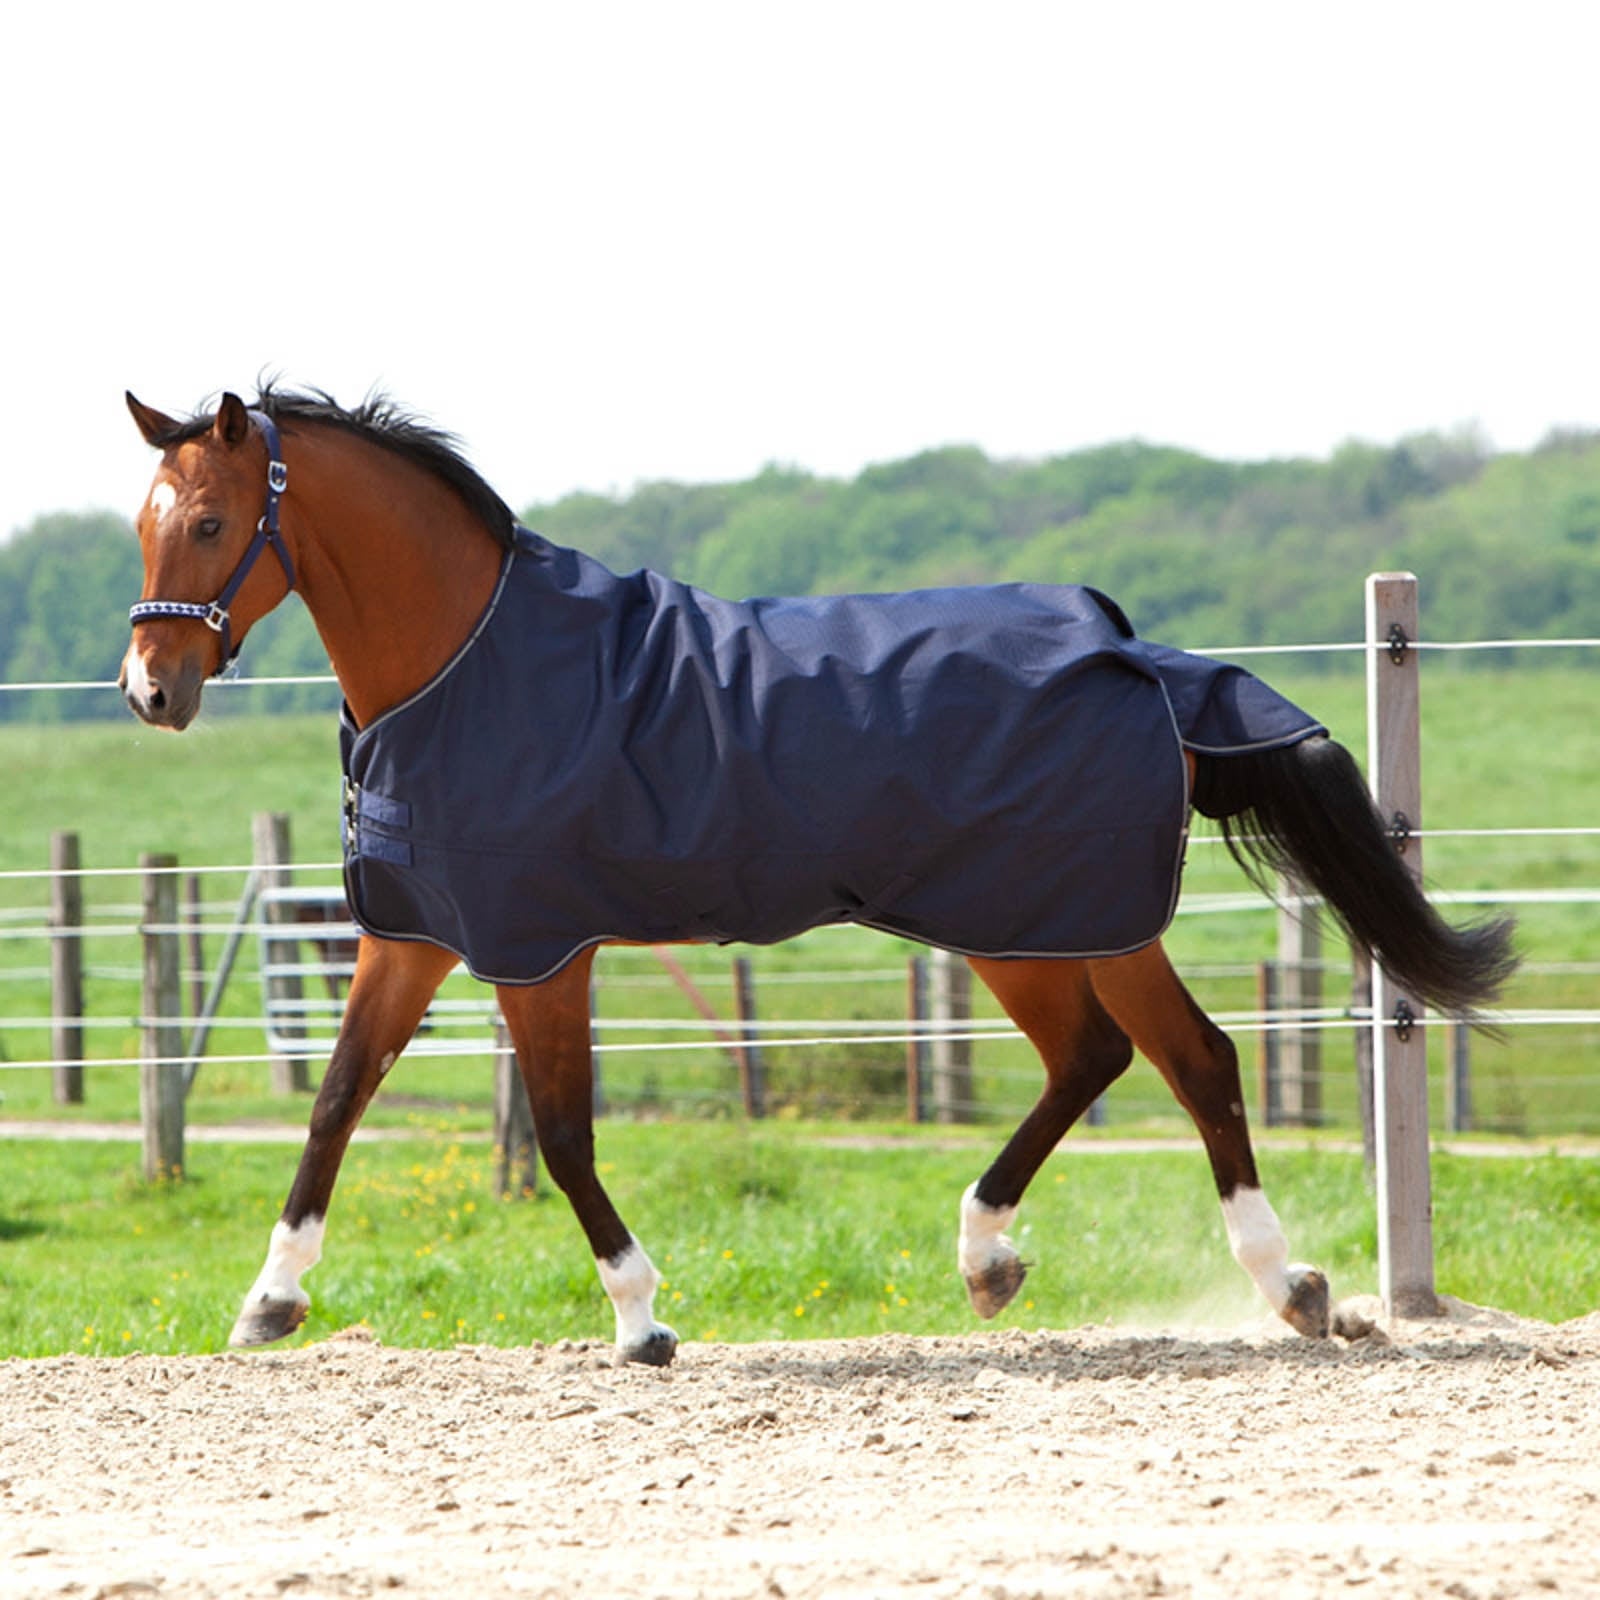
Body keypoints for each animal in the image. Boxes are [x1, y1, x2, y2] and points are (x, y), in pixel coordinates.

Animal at [119, 387, 1516, 1363]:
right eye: (142, 525)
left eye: (209, 521)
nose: (148, 691)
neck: (462, 663)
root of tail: (1136, 657)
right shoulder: (411, 933)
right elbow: (336, 1099)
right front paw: (269, 1300)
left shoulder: (534, 946)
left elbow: (563, 1136)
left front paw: (640, 1319)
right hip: (1024, 927)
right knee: (1098, 1058)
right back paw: (991, 1261)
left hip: (1076, 918)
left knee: (1197, 1062)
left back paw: (1289, 1287)